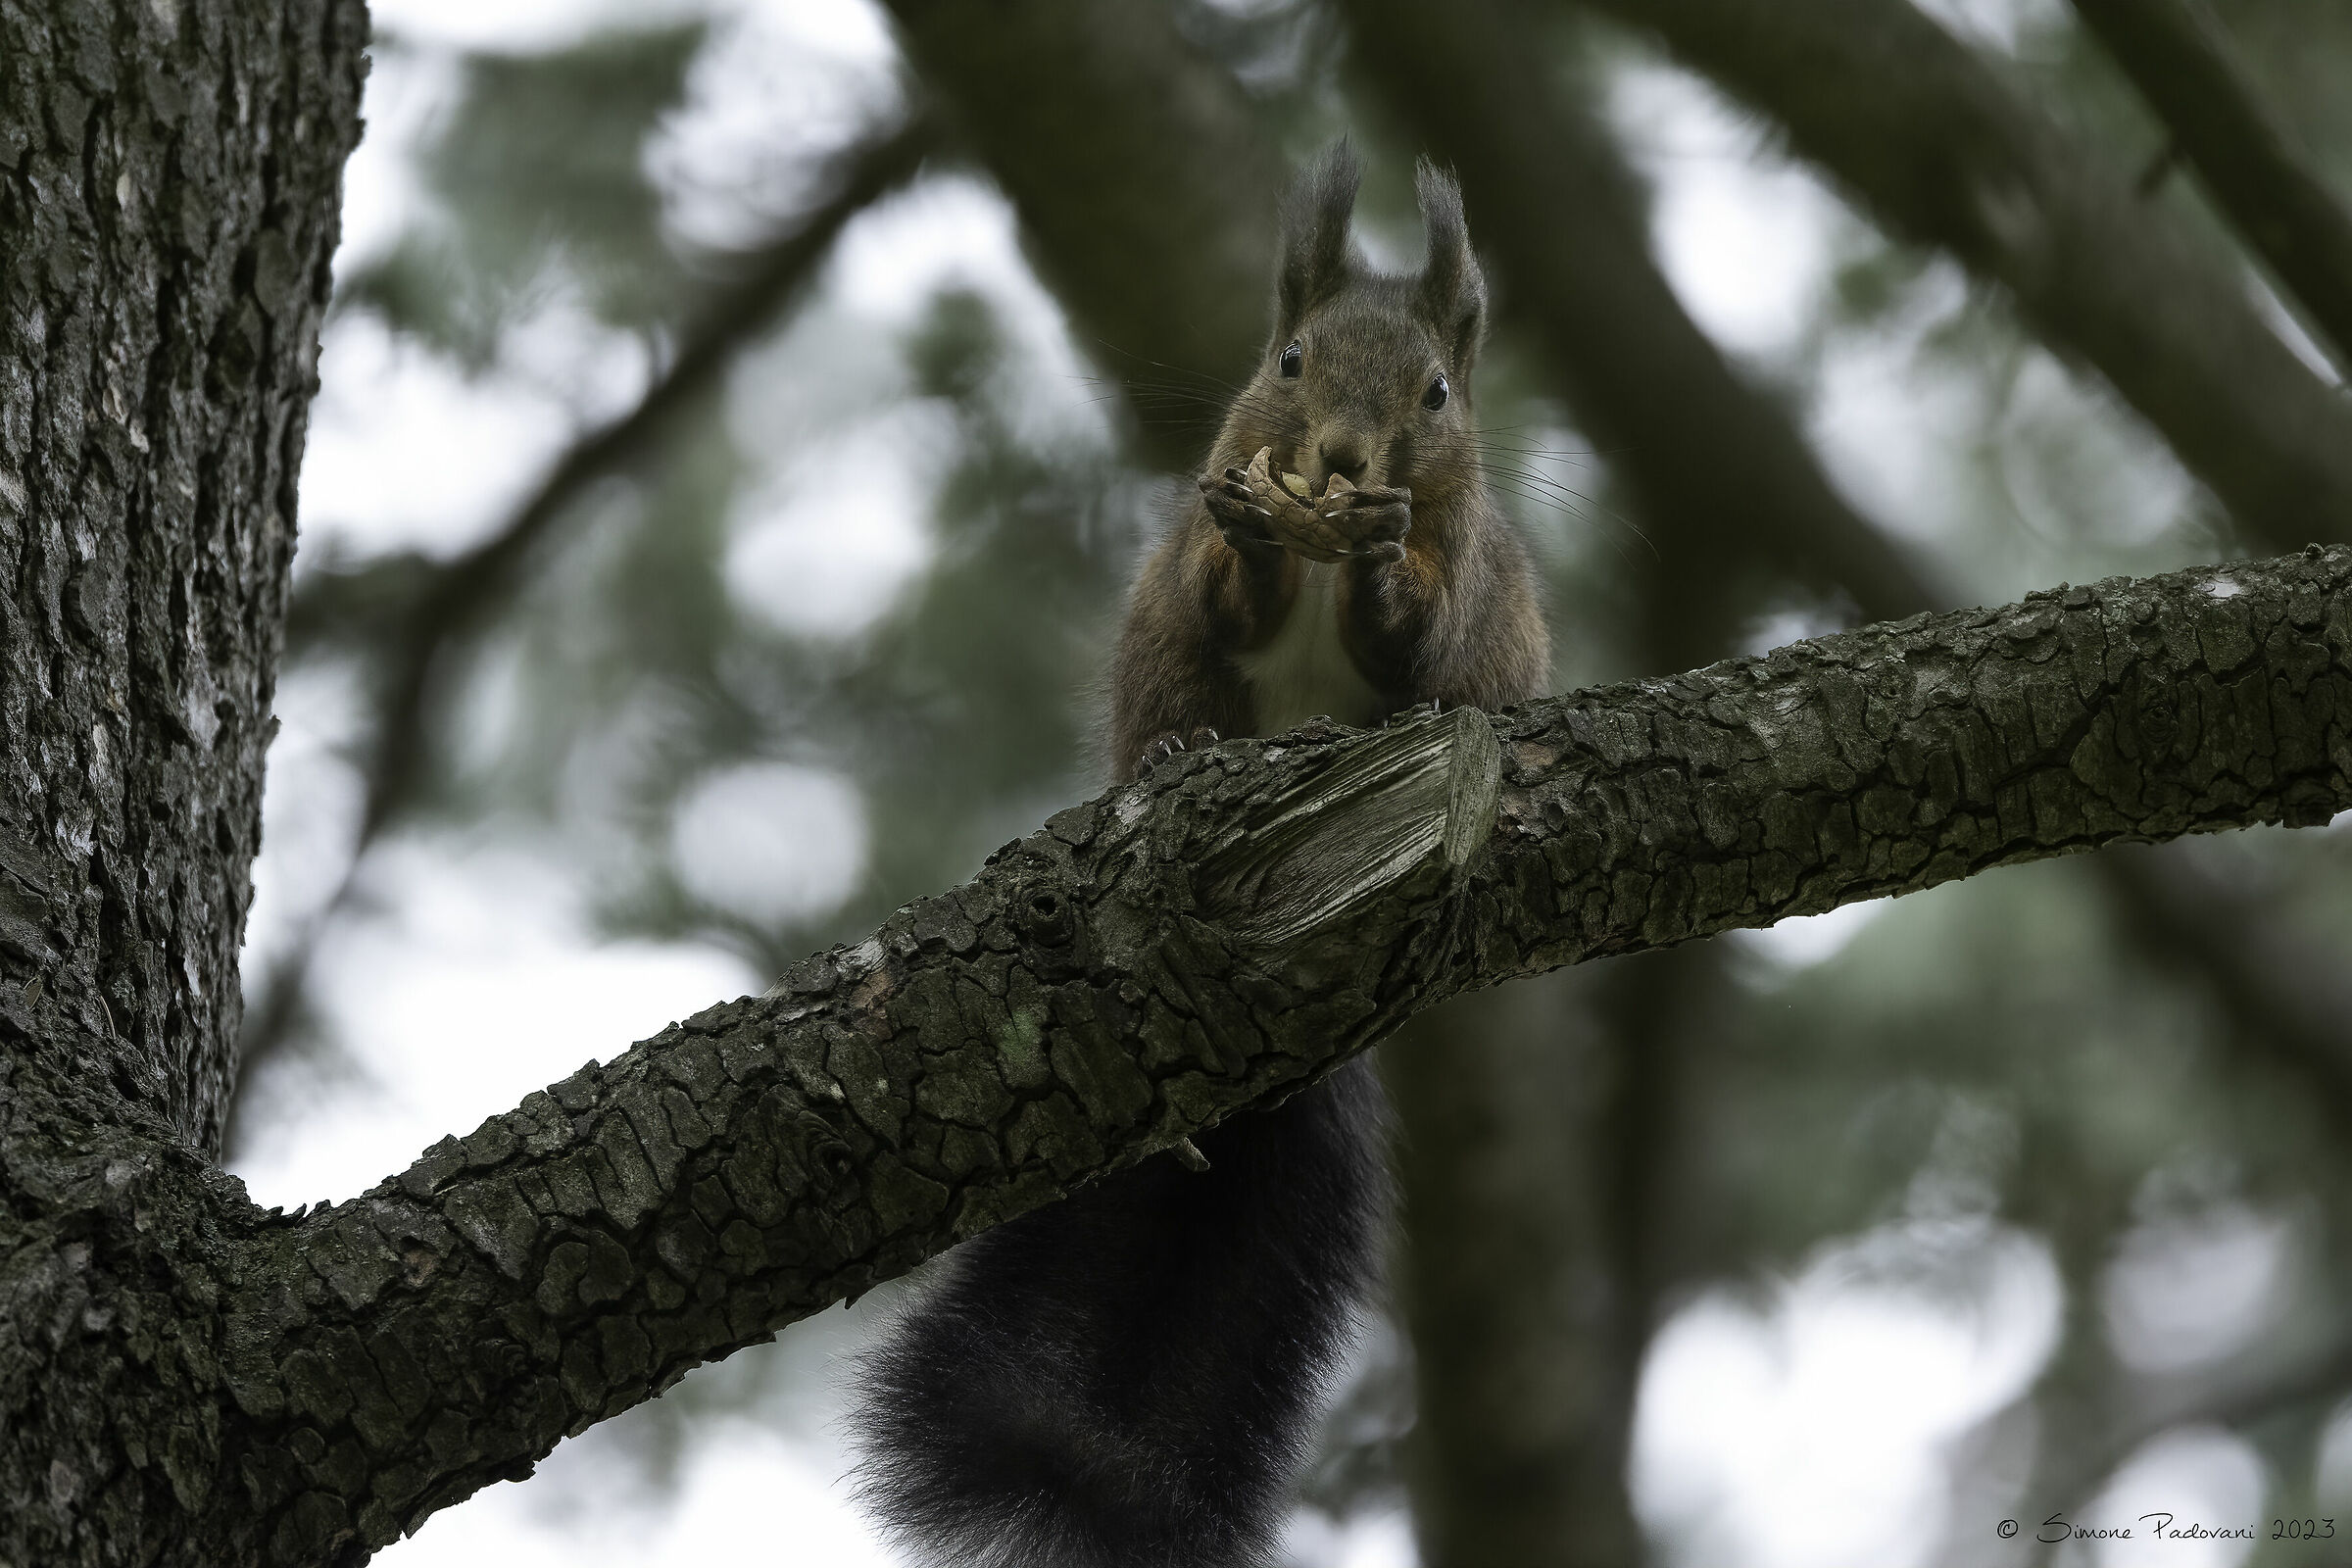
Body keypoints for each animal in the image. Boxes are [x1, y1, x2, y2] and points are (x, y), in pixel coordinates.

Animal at [851, 142, 1550, 1568]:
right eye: (1287, 360)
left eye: (1438, 393)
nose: (1341, 453)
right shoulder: (1200, 560)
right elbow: (1228, 587)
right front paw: (1266, 539)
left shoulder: (1456, 580)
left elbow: (1415, 633)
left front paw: (1375, 568)